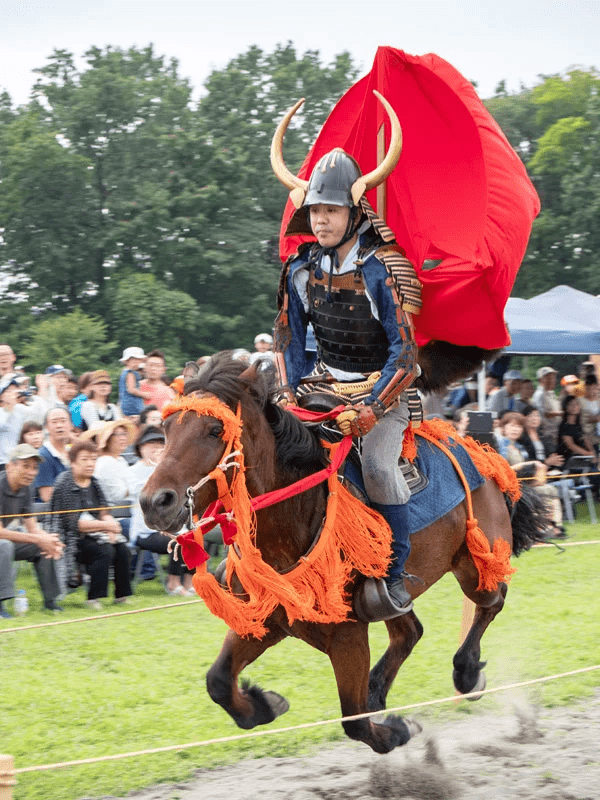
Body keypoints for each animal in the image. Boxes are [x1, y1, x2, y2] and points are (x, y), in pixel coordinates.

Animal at [141, 354, 548, 756]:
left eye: (215, 430)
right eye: (166, 427)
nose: (154, 502)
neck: (296, 514)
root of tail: (484, 455)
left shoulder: (347, 635)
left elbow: (354, 719)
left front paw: (397, 731)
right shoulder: (266, 620)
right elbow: (219, 681)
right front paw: (266, 703)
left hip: (475, 564)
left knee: (492, 602)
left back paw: (465, 673)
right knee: (410, 632)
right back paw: (379, 690)